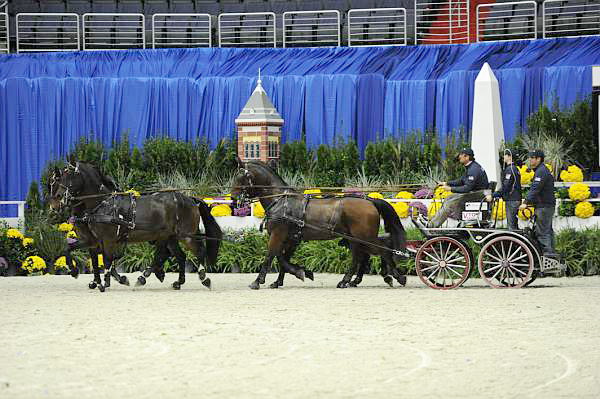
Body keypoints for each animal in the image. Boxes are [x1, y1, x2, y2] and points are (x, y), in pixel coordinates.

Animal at [47, 162, 220, 290]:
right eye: (54, 182)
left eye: (69, 178)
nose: (56, 203)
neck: (102, 203)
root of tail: (190, 199)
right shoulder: (93, 241)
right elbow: (73, 251)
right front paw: (80, 273)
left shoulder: (106, 239)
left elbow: (107, 260)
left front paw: (105, 283)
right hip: (171, 237)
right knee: (179, 255)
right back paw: (175, 282)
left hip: (185, 235)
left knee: (198, 251)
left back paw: (203, 278)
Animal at [231, 161, 408, 290]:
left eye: (239, 178)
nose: (233, 199)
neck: (280, 200)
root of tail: (370, 200)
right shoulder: (291, 239)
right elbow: (282, 259)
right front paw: (288, 277)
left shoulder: (278, 234)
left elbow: (270, 256)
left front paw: (258, 281)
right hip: (356, 238)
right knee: (363, 255)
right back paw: (350, 280)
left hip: (364, 236)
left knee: (381, 248)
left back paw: (395, 276)